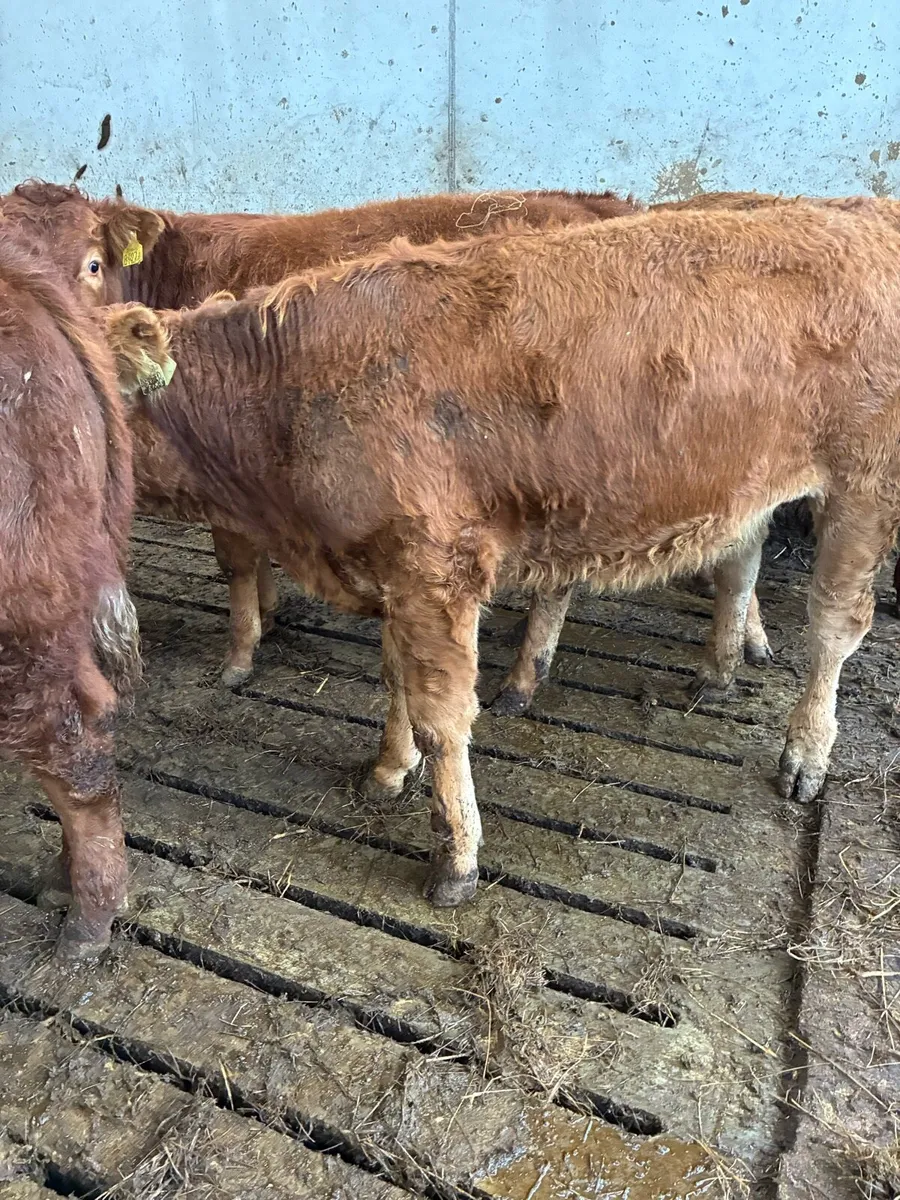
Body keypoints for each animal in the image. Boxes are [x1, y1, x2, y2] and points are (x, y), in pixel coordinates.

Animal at [104, 200, 900, 908]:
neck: (286, 389)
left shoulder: (435, 567)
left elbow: (442, 713)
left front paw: (455, 857)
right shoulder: (393, 570)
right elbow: (395, 676)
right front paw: (389, 769)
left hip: (864, 485)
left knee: (834, 625)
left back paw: (805, 754)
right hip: (747, 482)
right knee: (740, 562)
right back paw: (718, 669)